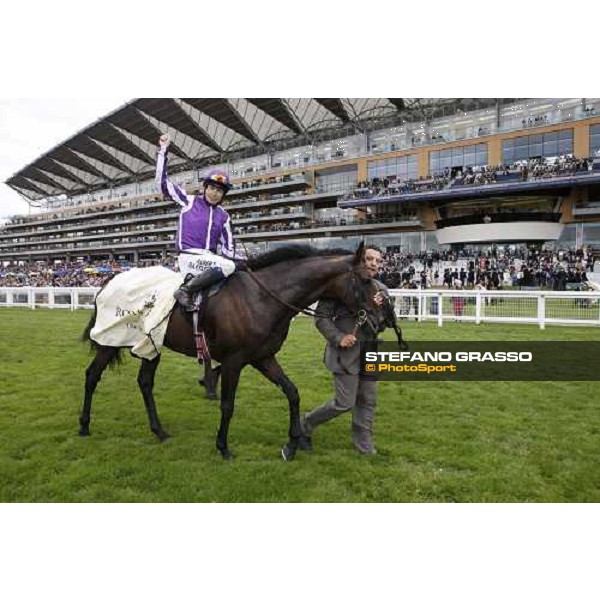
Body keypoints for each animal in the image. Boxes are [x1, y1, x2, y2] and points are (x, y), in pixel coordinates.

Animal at [79, 241, 380, 462]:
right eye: (366, 279)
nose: (378, 316)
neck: (262, 298)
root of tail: (108, 282)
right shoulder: (235, 361)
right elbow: (228, 404)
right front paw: (223, 446)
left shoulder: (263, 357)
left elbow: (292, 392)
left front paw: (294, 442)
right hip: (110, 341)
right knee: (92, 376)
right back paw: (84, 425)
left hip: (153, 344)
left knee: (144, 382)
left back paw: (159, 431)